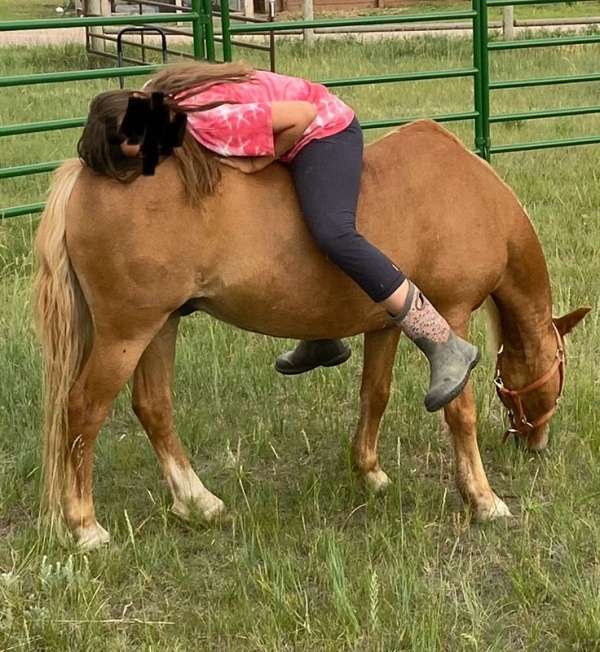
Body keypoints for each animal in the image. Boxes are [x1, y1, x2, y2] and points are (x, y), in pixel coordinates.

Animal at [34, 119, 589, 549]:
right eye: (560, 372)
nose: (535, 443)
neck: (469, 195)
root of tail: (88, 172)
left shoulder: (386, 325)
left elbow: (375, 394)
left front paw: (369, 472)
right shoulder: (451, 316)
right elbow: (460, 412)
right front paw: (483, 499)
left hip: (160, 325)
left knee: (153, 406)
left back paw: (197, 502)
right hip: (126, 334)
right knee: (83, 410)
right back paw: (85, 527)